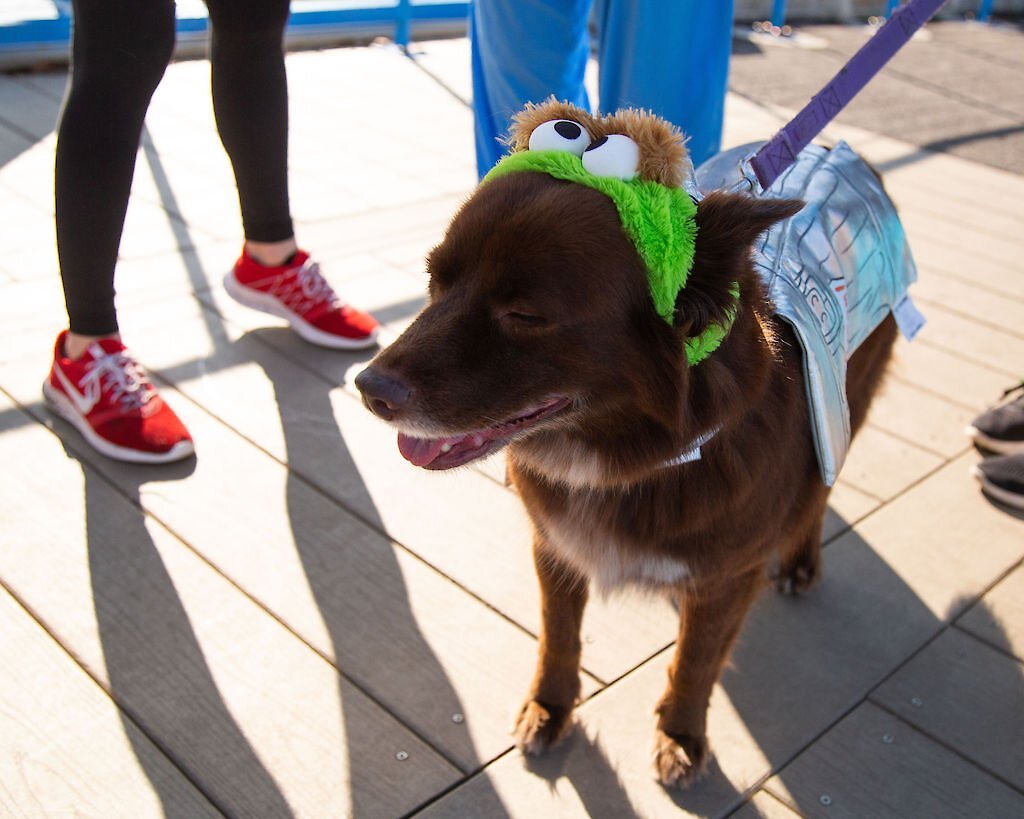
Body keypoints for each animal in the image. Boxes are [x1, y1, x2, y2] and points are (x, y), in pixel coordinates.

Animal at [356, 105, 901, 790]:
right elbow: (558, 635)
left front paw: (681, 736)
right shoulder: (556, 544)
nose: (368, 388)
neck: (633, 453)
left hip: (848, 401)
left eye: (525, 315)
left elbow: (696, 662)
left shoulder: (727, 576)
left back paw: (801, 558)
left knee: (819, 490)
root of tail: (839, 152)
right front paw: (550, 707)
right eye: (435, 278)